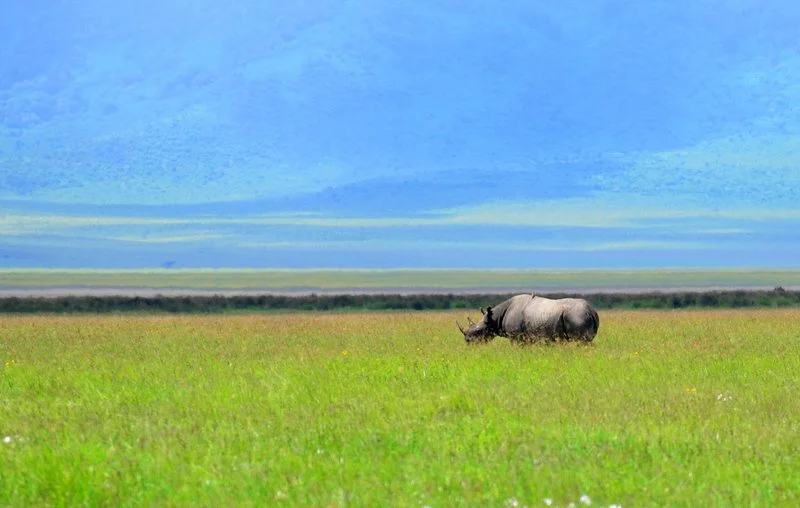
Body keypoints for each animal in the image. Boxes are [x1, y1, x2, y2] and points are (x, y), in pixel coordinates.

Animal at [457, 293, 599, 344]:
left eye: (479, 331)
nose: (468, 342)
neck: (495, 317)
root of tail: (592, 311)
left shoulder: (516, 336)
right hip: (579, 315)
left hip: (577, 315)